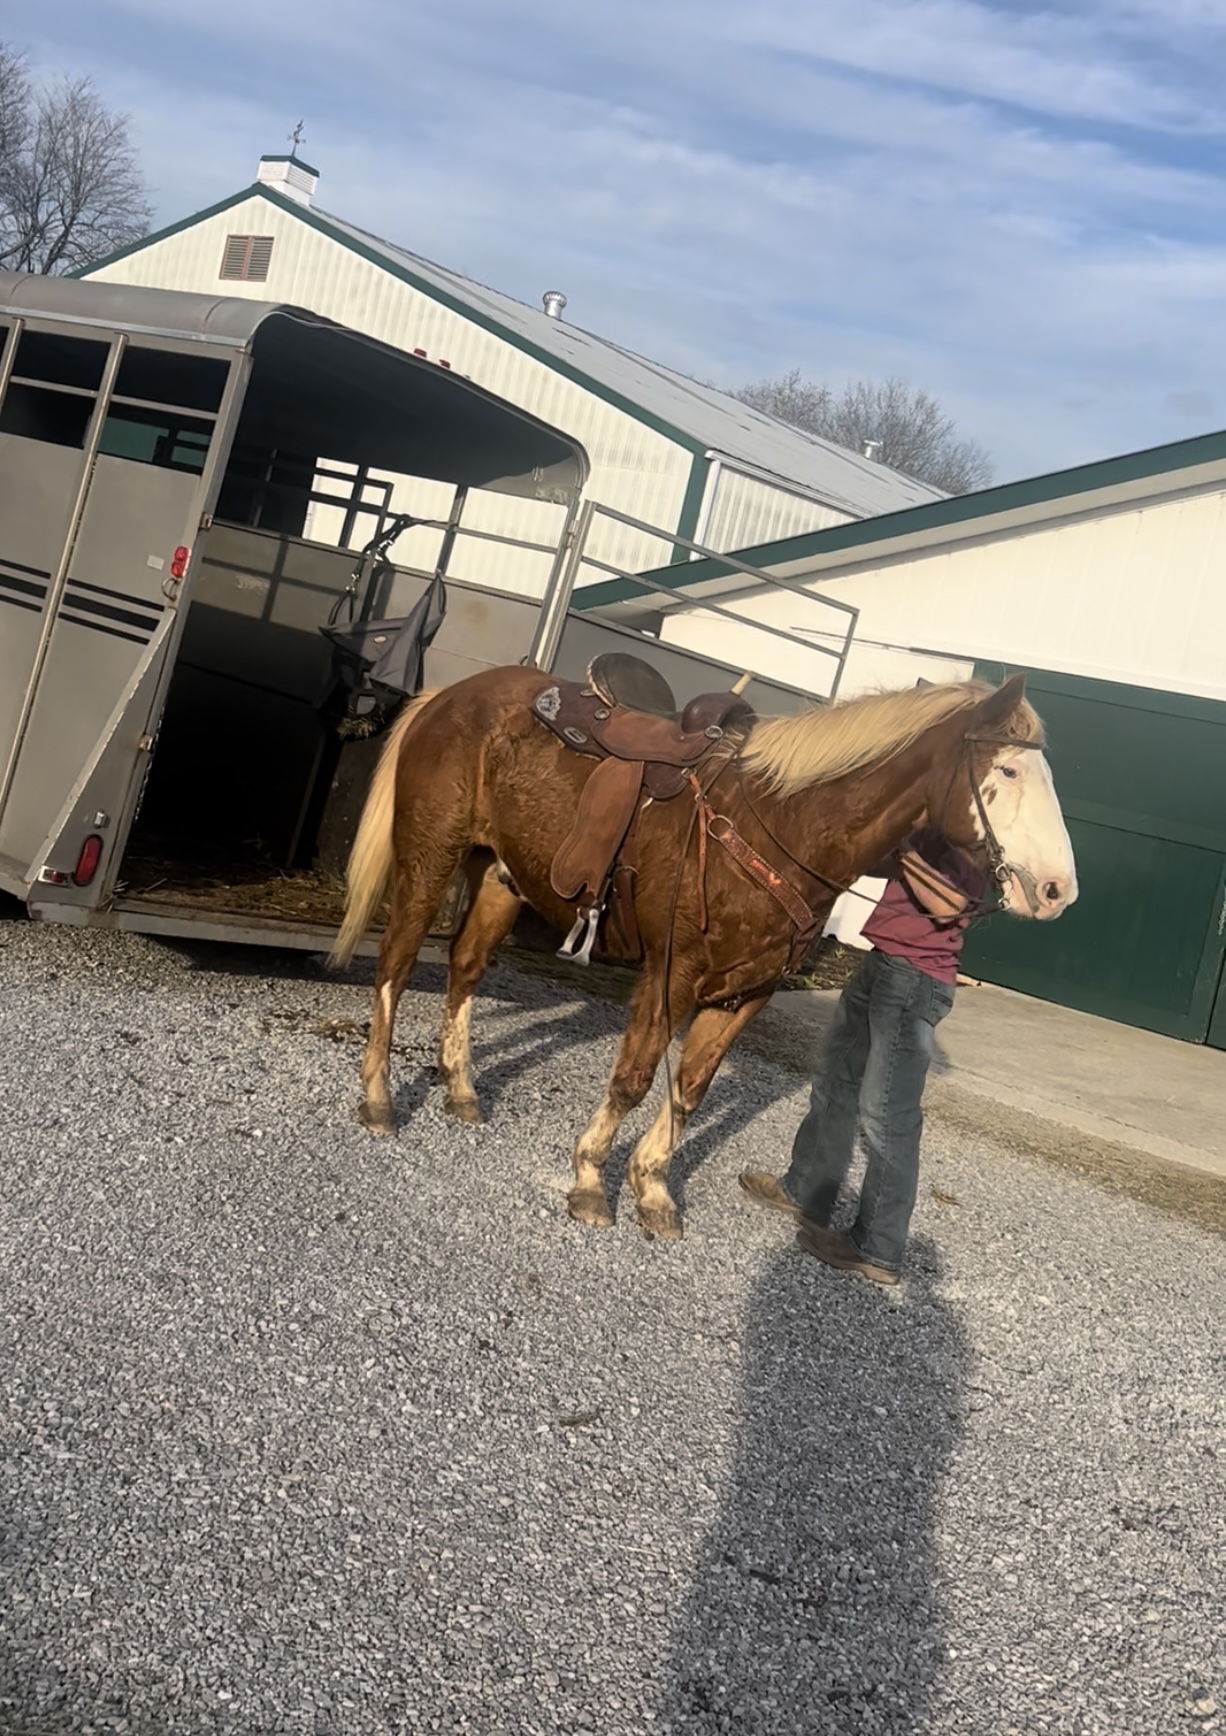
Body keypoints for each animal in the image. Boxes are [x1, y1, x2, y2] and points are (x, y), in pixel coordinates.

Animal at [331, 664, 1077, 1239]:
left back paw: (460, 1087)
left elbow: (690, 1089)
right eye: (1008, 770)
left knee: (464, 969)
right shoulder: (673, 975)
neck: (780, 824)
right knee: (397, 964)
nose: (1057, 891)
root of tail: (452, 693)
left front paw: (653, 1189)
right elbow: (634, 1079)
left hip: (499, 878)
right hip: (430, 857)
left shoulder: (748, 992)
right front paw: (590, 1179)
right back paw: (377, 1098)